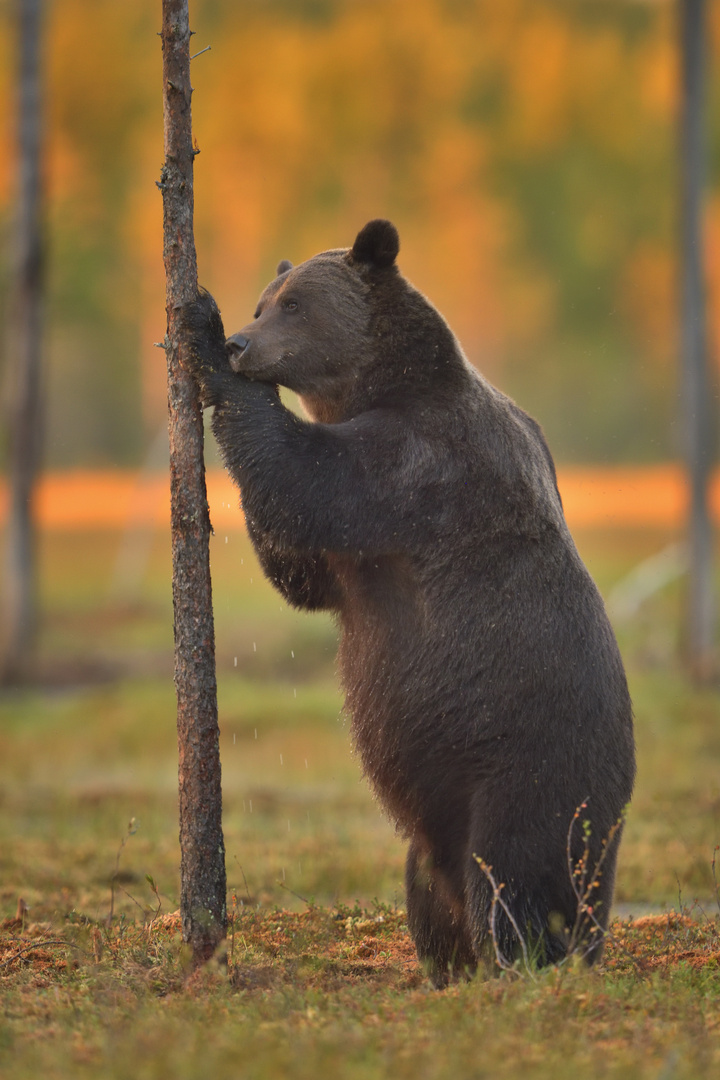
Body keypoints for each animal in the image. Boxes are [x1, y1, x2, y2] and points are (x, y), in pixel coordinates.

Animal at [181, 214, 634, 984]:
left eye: (292, 304)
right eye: (265, 302)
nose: (243, 342)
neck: (380, 387)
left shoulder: (419, 468)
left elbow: (305, 478)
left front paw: (200, 333)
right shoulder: (362, 555)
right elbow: (305, 572)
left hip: (527, 764)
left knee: (515, 876)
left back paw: (525, 961)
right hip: (437, 812)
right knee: (426, 883)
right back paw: (449, 968)